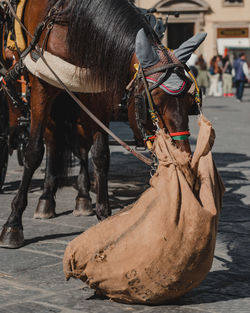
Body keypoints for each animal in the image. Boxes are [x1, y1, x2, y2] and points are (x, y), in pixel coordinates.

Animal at [0, 0, 205, 249]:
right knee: (52, 142)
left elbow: (100, 154)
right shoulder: (42, 86)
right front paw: (13, 223)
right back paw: (46, 198)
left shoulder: (97, 91)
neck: (72, 19)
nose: (184, 164)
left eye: (190, 103)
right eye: (153, 102)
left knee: (79, 146)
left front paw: (103, 215)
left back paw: (82, 198)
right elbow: (33, 152)